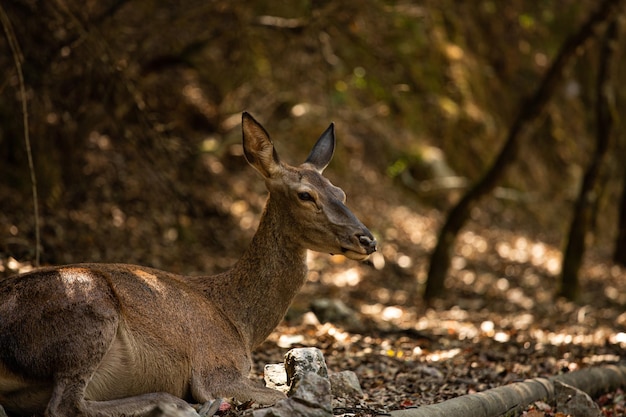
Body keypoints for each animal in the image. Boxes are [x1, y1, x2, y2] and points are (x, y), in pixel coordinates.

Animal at [0, 113, 376, 416]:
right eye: (305, 195)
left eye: (340, 192)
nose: (368, 240)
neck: (240, 323)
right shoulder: (216, 369)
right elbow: (290, 396)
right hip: (88, 312)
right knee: (64, 405)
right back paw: (176, 404)